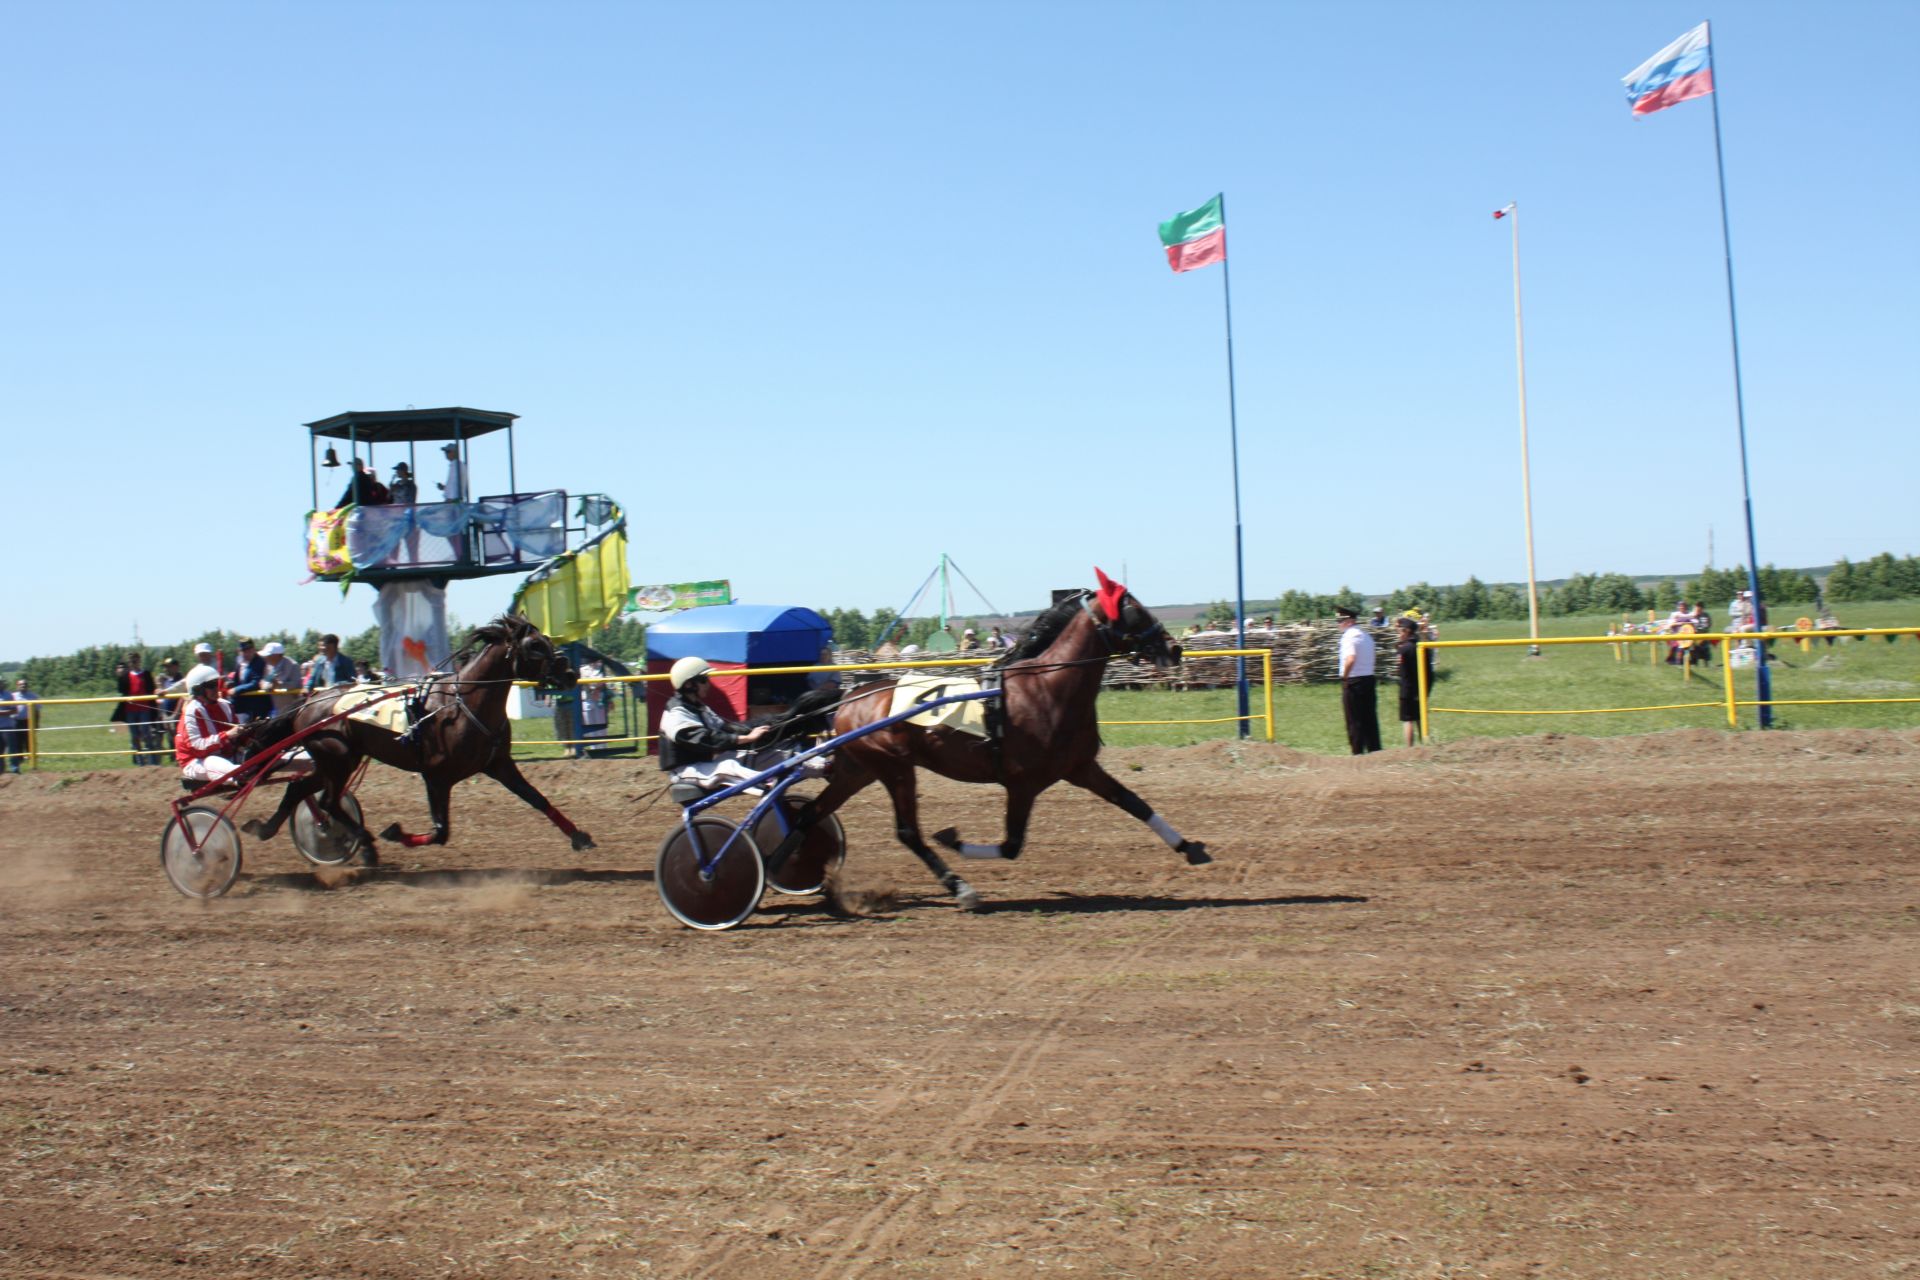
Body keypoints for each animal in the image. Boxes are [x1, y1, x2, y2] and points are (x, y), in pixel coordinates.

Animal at [243, 614, 595, 867]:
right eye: (535, 645)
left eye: (546, 639)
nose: (570, 674)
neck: (462, 705)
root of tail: (309, 702)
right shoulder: (436, 777)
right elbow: (441, 832)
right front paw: (395, 832)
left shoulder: (499, 764)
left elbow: (538, 799)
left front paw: (579, 836)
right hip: (338, 759)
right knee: (328, 801)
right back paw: (366, 844)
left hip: (333, 761)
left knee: (299, 789)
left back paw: (266, 828)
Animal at [802, 571, 1205, 909]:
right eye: (1135, 610)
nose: (1174, 649)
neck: (1048, 687)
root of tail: (850, 697)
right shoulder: (1022, 783)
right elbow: (1011, 845)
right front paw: (953, 839)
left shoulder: (1080, 767)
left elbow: (1134, 802)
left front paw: (1189, 847)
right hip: (895, 768)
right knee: (907, 832)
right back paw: (960, 888)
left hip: (860, 770)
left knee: (811, 813)